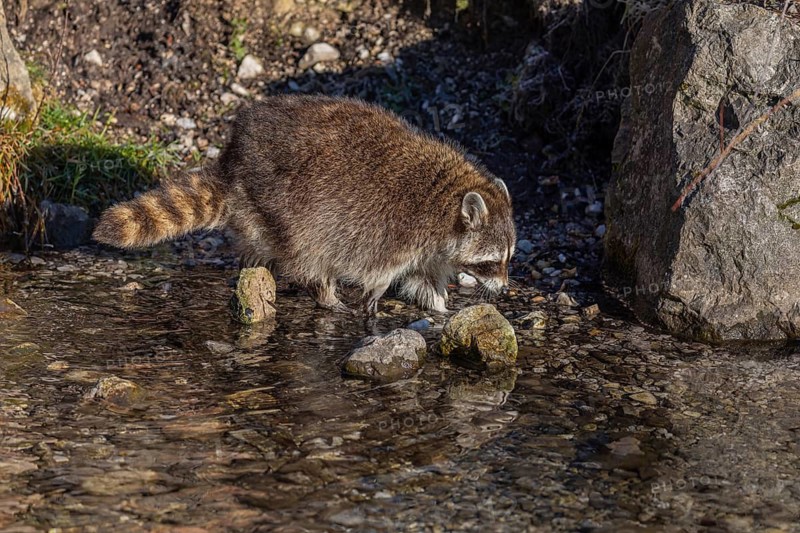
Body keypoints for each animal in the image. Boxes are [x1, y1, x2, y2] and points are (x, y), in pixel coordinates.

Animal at [93, 95, 516, 314]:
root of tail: (234, 160)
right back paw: (326, 295)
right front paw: (374, 298)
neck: (448, 199)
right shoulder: (399, 230)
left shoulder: (430, 248)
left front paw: (441, 305)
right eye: (492, 261)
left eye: (509, 258)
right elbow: (380, 271)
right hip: (284, 206)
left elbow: (423, 278)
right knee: (309, 255)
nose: (505, 287)